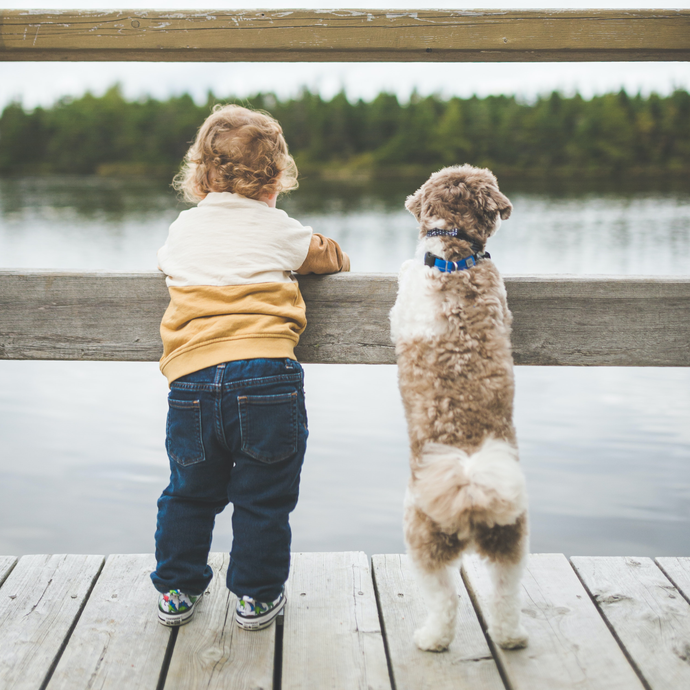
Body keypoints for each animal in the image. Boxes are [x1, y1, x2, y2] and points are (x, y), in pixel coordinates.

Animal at [388, 165, 528, 652]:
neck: (456, 255)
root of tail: (470, 494)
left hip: (422, 539)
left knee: (445, 599)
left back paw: (431, 638)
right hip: (510, 540)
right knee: (505, 594)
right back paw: (510, 637)